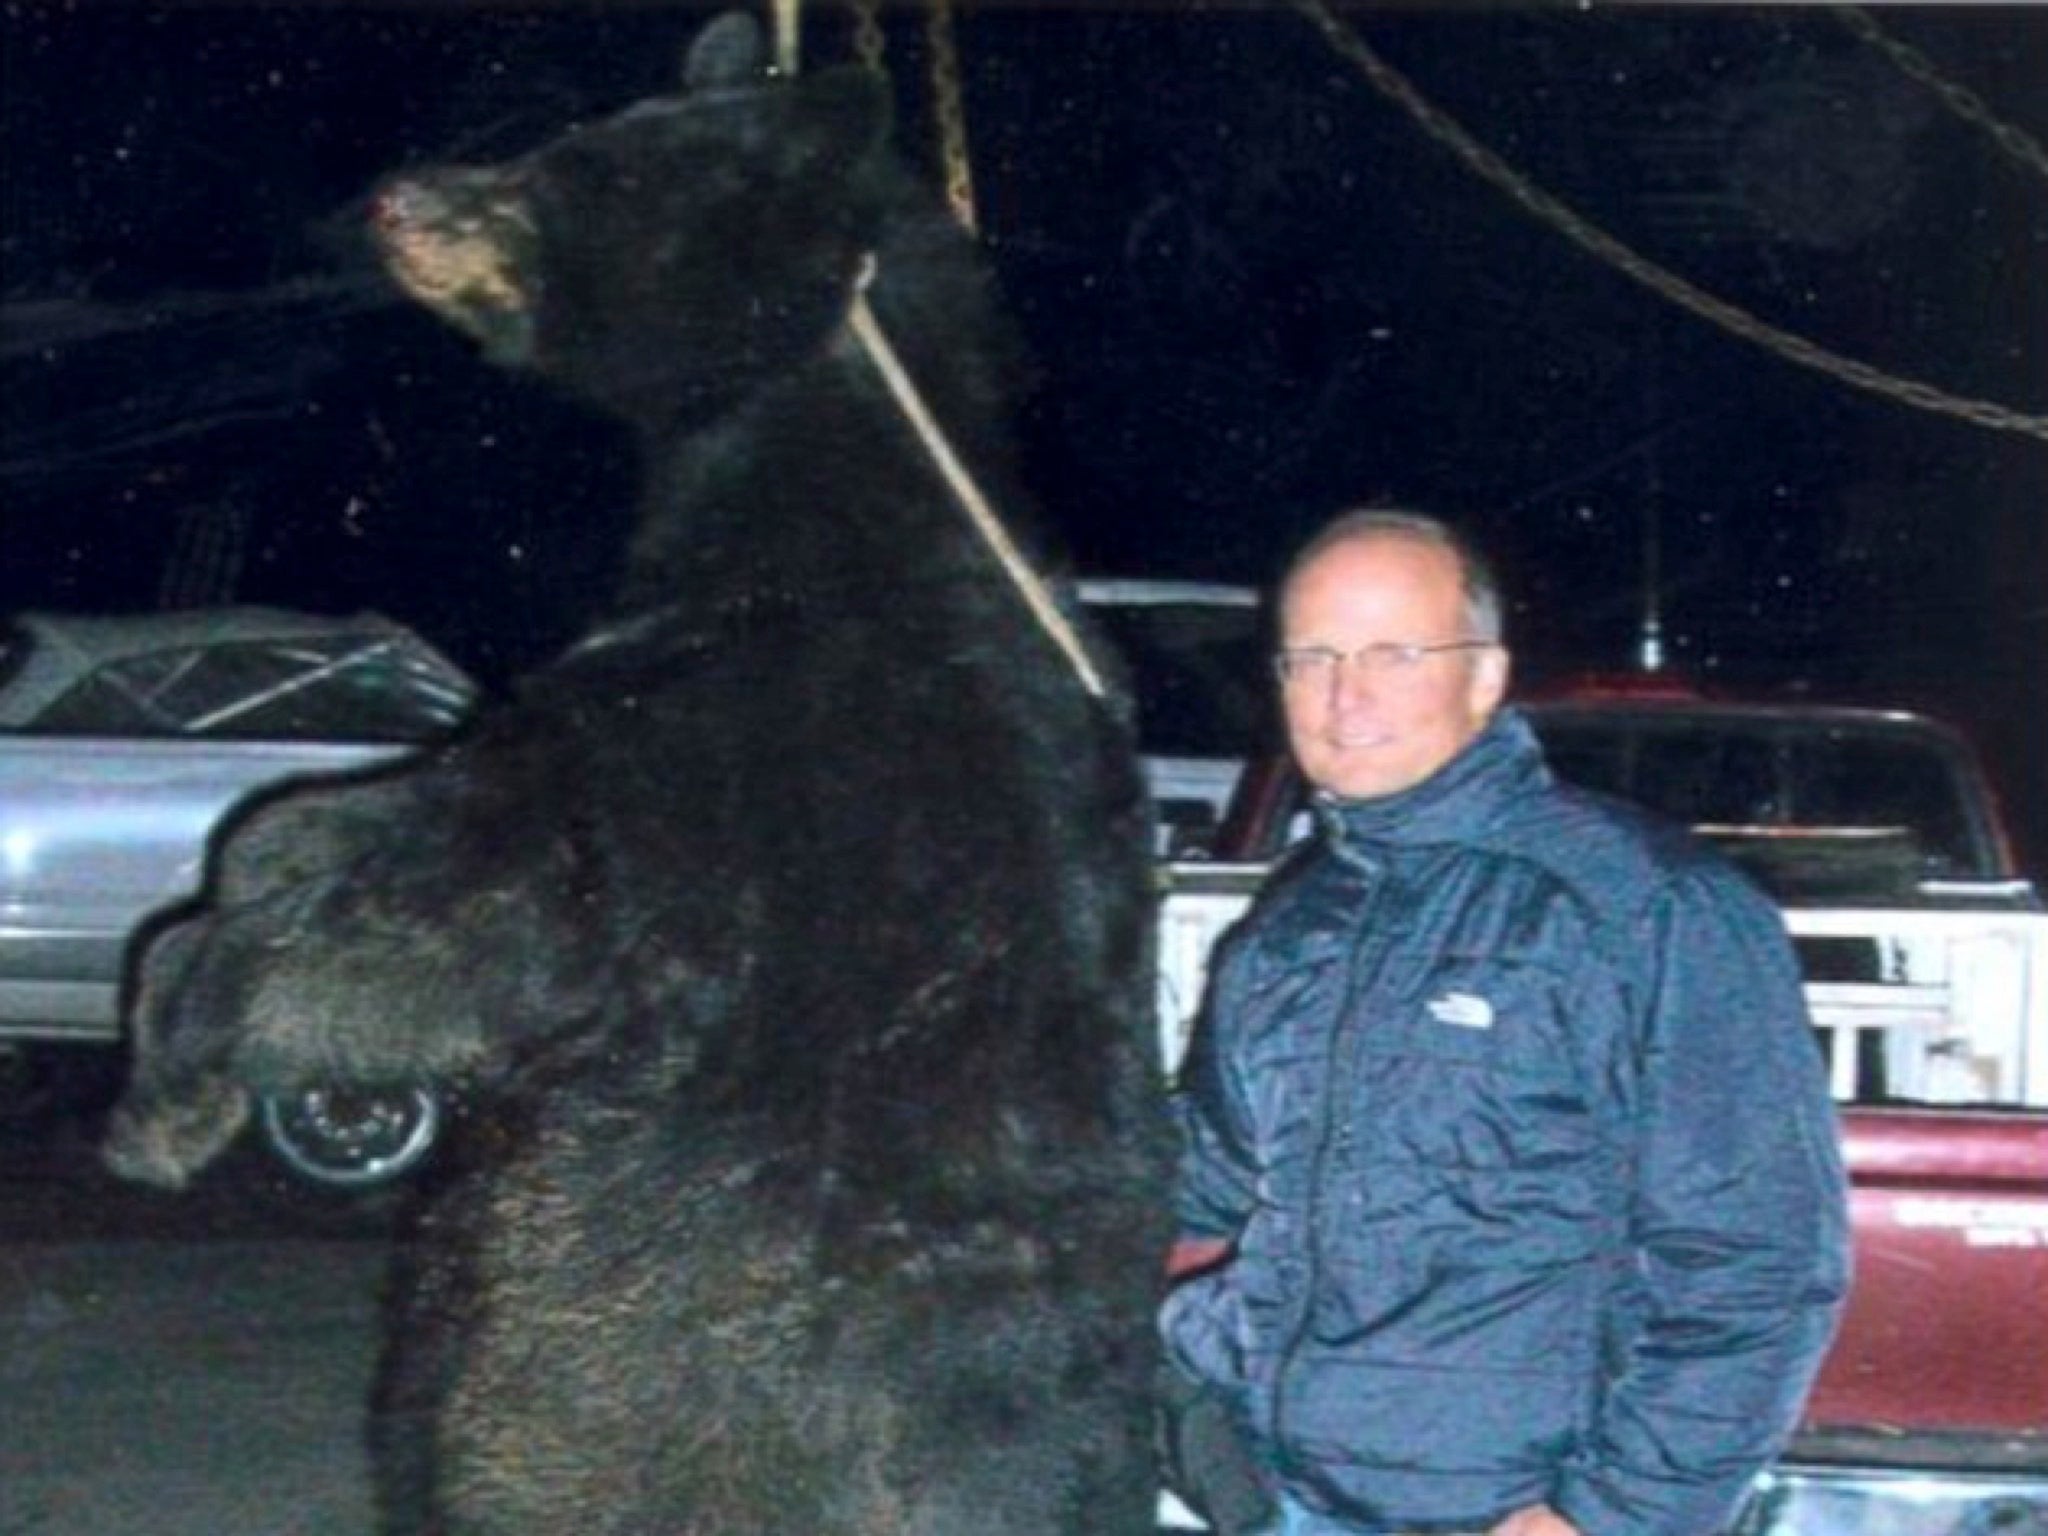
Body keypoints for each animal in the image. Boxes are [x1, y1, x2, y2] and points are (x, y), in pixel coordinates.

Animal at [108, 12, 1171, 1536]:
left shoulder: (733, 749)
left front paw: (169, 1080)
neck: (819, 476)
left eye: (582, 166)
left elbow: (436, 884)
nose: (398, 195)